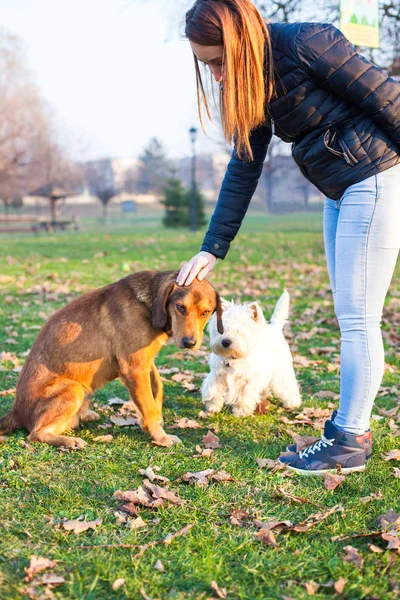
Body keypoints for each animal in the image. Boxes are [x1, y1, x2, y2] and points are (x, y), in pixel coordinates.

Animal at [0, 270, 223, 448]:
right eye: (180, 307)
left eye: (206, 312)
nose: (190, 343)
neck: (147, 306)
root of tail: (16, 412)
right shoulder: (133, 368)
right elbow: (149, 407)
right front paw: (161, 436)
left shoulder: (144, 362)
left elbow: (157, 389)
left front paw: (154, 421)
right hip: (73, 388)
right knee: (35, 434)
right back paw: (69, 440)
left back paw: (84, 415)